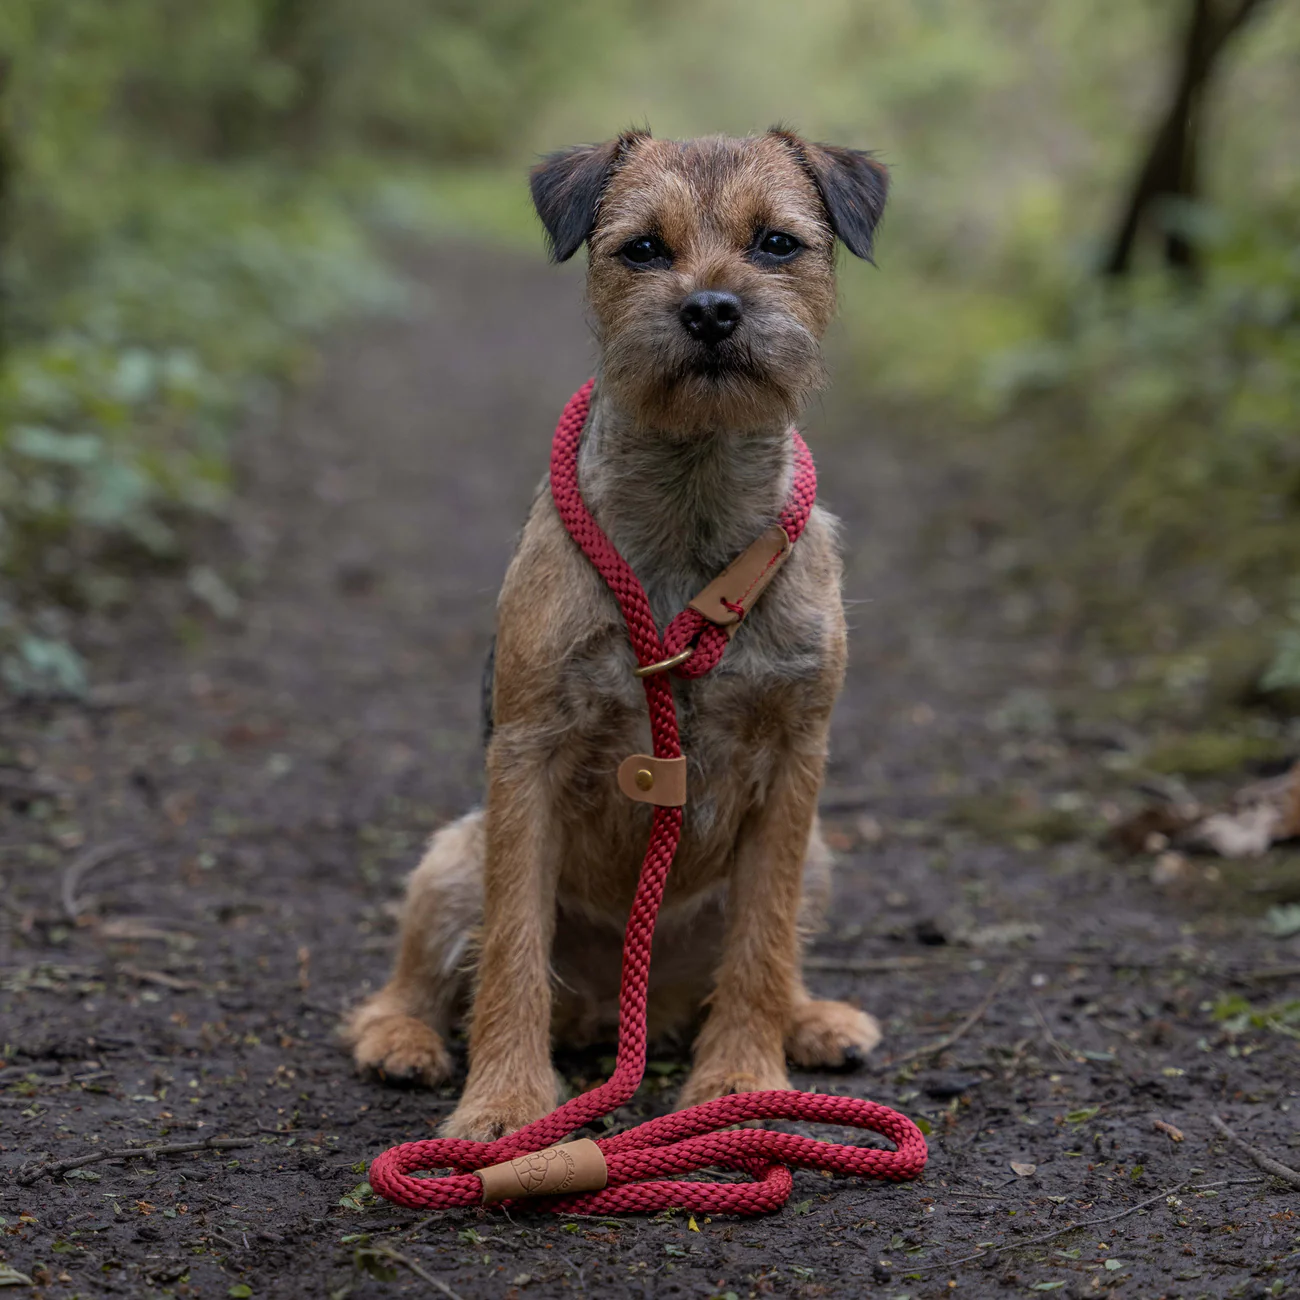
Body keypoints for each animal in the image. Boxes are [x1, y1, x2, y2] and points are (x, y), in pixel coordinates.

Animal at [345, 124, 889, 1138]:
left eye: (776, 244)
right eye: (642, 249)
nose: (711, 308)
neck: (693, 512)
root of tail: (617, 1014)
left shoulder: (797, 764)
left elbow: (763, 938)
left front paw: (741, 1082)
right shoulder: (528, 758)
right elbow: (514, 946)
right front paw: (507, 1104)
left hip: (819, 856)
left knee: (769, 952)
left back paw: (808, 1020)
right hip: (454, 854)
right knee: (417, 977)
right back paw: (403, 1038)